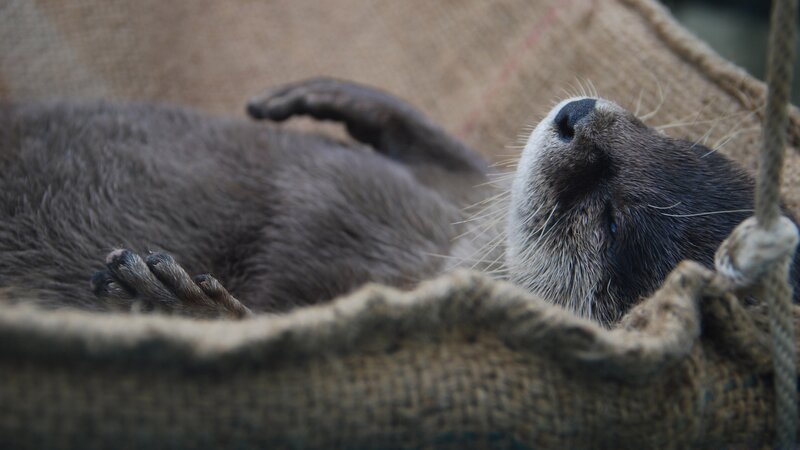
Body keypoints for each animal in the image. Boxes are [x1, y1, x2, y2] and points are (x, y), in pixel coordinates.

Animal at [0, 78, 797, 324]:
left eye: (610, 218)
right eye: (659, 133)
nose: (578, 118)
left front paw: (182, 305)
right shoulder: (447, 207)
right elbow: (454, 165)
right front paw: (344, 100)